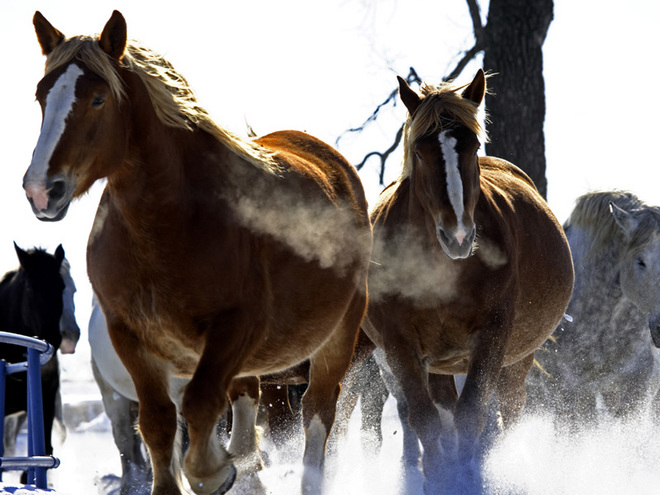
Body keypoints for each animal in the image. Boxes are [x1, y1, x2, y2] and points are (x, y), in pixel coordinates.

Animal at [24, 11, 371, 495]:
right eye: (42, 96)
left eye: (97, 99)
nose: (42, 190)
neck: (169, 228)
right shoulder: (130, 336)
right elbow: (158, 425)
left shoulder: (235, 328)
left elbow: (201, 405)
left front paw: (212, 471)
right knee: (248, 407)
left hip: (335, 339)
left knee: (316, 417)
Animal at [360, 70, 574, 493]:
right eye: (420, 152)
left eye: (473, 147)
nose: (458, 234)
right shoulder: (401, 346)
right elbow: (426, 419)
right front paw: (439, 475)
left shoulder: (491, 337)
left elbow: (472, 414)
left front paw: (466, 476)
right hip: (441, 363)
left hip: (516, 360)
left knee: (506, 411)